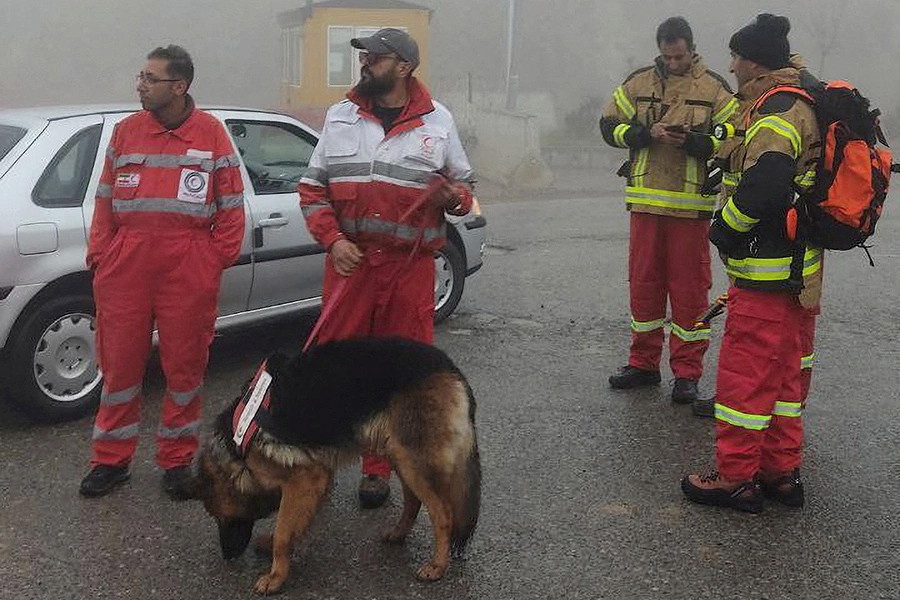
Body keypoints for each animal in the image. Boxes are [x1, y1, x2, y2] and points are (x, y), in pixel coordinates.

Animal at [194, 338, 482, 596]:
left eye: (222, 518)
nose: (228, 557)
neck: (237, 439)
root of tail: (450, 368)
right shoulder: (314, 478)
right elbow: (295, 522)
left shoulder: (305, 478)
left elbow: (284, 531)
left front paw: (276, 576)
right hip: (399, 455)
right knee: (414, 500)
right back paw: (398, 533)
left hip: (412, 460)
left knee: (443, 512)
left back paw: (437, 565)